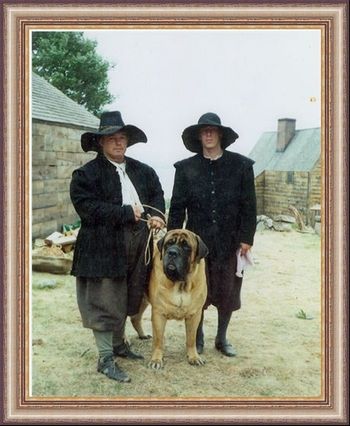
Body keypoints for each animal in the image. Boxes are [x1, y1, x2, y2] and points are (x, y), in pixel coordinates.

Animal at [146, 230, 206, 370]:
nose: (172, 252)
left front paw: (194, 357)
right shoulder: (158, 313)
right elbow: (159, 339)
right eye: (168, 244)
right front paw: (156, 359)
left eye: (186, 246)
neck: (180, 284)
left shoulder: (195, 315)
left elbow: (191, 338)